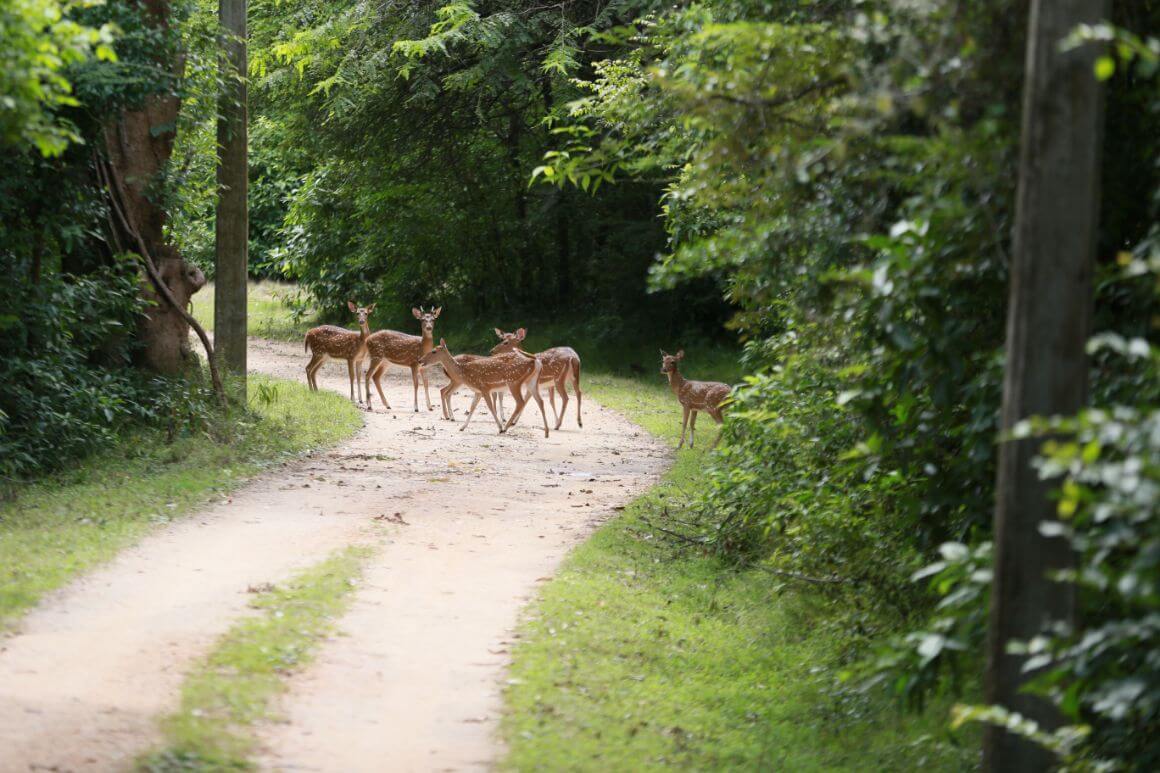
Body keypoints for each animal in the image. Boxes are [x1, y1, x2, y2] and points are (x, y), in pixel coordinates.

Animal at [419, 338, 549, 436]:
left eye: (434, 351)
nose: (420, 360)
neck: (464, 373)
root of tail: (536, 361)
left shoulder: (484, 387)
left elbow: (490, 407)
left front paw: (499, 427)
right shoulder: (478, 391)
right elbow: (472, 407)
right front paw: (462, 427)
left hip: (514, 381)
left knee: (521, 402)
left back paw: (505, 428)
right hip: (532, 382)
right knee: (540, 401)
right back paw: (546, 432)